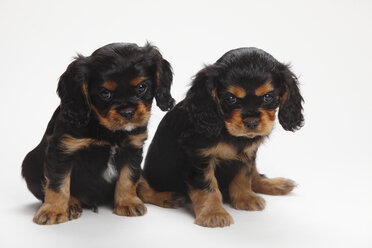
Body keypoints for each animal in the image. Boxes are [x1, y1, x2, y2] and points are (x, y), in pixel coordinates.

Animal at [21, 42, 176, 225]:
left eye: (141, 87)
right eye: (105, 93)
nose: (128, 113)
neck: (108, 130)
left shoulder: (133, 149)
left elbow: (129, 178)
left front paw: (128, 202)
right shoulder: (62, 150)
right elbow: (58, 184)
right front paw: (53, 210)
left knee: (143, 184)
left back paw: (166, 197)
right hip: (29, 164)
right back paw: (71, 204)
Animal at [141, 47, 304, 228]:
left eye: (268, 96)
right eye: (231, 98)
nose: (252, 122)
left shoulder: (248, 153)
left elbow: (245, 174)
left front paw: (245, 198)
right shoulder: (199, 156)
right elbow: (208, 186)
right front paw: (214, 213)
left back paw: (276, 184)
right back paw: (168, 198)